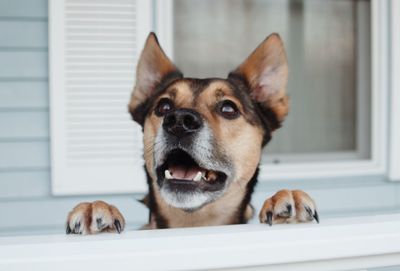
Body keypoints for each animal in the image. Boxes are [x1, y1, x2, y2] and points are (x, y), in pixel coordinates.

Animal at [65, 33, 318, 235]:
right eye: (164, 107)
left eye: (228, 108)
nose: (179, 122)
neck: (193, 223)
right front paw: (96, 208)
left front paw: (284, 200)